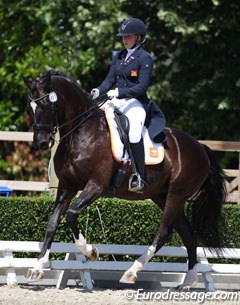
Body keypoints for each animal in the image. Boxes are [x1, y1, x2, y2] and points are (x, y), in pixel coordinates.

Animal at [23, 70, 227, 288]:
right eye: (30, 106)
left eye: (45, 104)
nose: (41, 142)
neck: (80, 133)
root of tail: (200, 148)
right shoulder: (66, 186)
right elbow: (52, 223)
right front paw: (37, 268)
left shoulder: (96, 186)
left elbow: (71, 215)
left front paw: (91, 252)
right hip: (162, 196)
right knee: (188, 234)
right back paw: (188, 281)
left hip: (176, 195)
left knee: (164, 232)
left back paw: (132, 271)